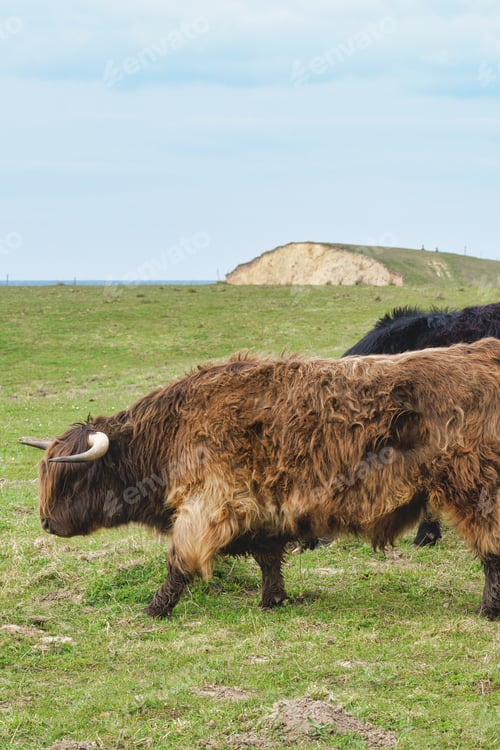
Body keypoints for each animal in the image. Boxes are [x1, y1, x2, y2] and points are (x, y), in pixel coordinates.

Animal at [21, 339, 500, 620]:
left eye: (72, 481)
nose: (46, 522)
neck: (173, 432)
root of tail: (482, 349)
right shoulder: (263, 508)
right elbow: (268, 558)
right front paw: (274, 600)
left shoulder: (208, 501)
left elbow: (180, 560)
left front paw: (154, 608)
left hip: (475, 486)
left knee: (490, 547)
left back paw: (488, 610)